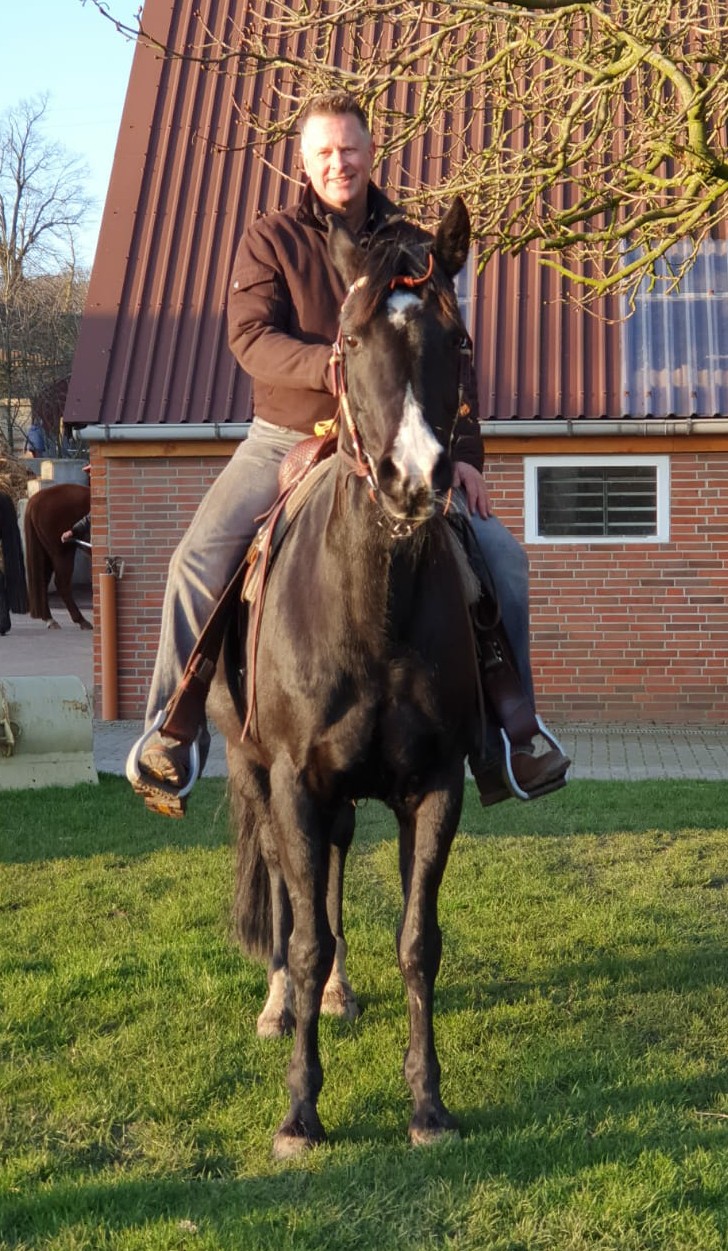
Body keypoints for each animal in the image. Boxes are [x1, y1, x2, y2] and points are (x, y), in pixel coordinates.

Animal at [24, 483, 92, 629]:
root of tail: (36, 499)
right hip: (62, 553)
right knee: (62, 584)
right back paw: (81, 620)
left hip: (48, 554)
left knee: (44, 582)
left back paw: (50, 619)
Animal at [214, 198, 480, 1158]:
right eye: (352, 338)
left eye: (458, 339)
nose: (416, 478)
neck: (373, 610)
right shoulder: (294, 778)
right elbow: (300, 936)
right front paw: (300, 1110)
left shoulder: (435, 784)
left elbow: (416, 940)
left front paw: (428, 1102)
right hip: (258, 771)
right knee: (290, 899)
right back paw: (282, 1005)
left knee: (326, 876)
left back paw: (334, 995)